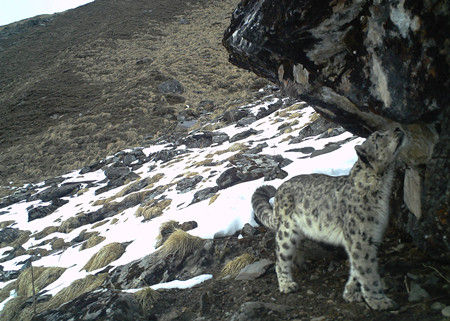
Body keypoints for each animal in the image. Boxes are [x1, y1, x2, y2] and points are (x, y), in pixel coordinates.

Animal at [253, 126, 404, 308]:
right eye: (378, 137)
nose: (398, 128)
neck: (382, 188)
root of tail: (279, 189)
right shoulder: (361, 239)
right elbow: (367, 271)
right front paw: (378, 300)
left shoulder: (370, 236)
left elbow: (357, 268)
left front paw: (350, 293)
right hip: (286, 231)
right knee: (280, 258)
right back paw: (287, 284)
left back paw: (300, 262)